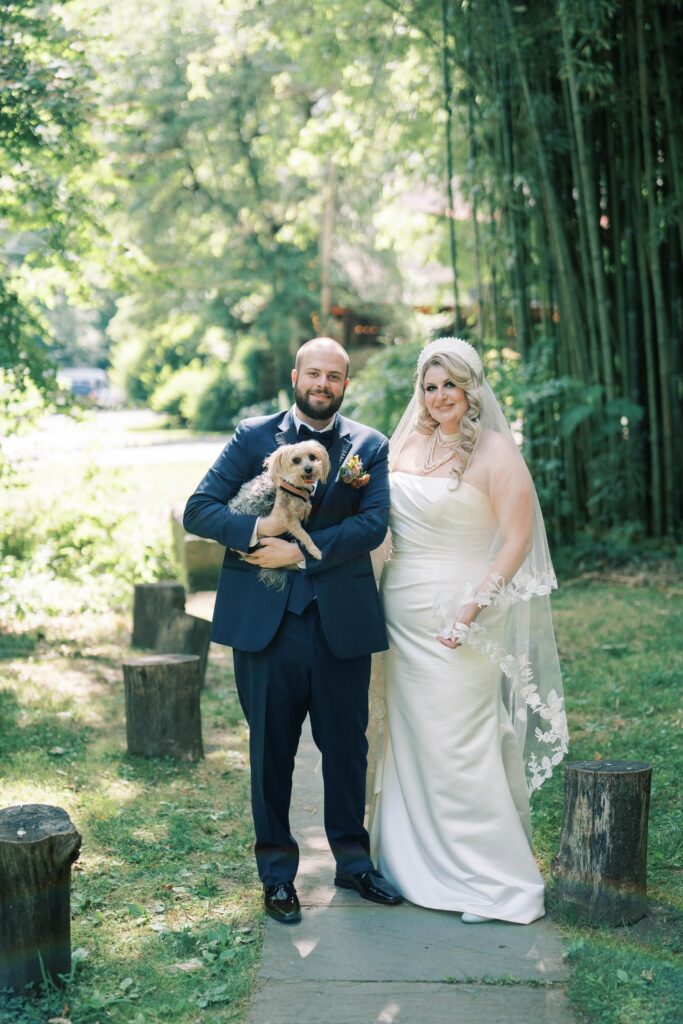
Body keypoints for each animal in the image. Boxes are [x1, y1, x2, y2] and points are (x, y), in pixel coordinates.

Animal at [228, 440, 331, 593]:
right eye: (296, 460)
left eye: (313, 457)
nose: (308, 469)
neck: (294, 485)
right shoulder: (288, 518)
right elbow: (304, 534)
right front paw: (314, 550)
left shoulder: (303, 510)